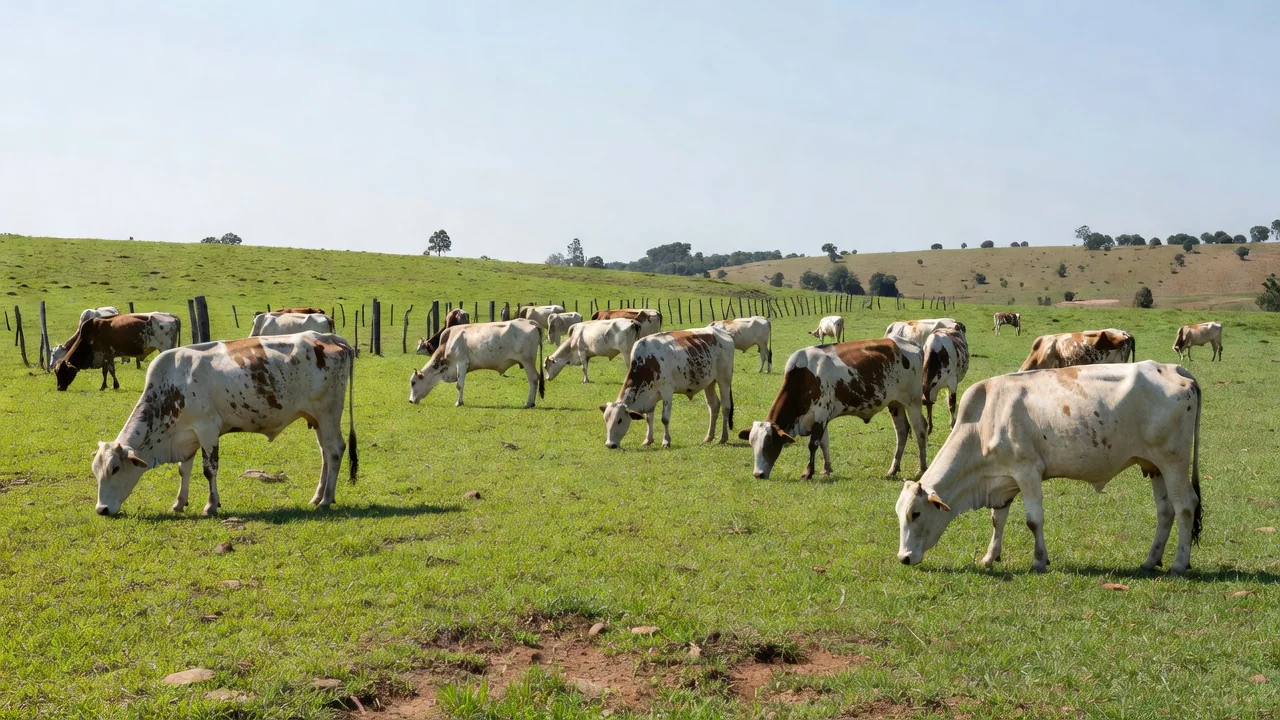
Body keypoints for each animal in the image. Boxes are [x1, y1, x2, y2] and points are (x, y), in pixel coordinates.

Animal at [92, 332, 357, 516]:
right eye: (96, 470)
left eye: (115, 468)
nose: (101, 509)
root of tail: (328, 336)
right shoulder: (188, 436)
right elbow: (184, 470)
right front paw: (179, 502)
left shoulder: (208, 430)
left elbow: (209, 469)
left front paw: (211, 505)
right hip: (316, 419)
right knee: (324, 453)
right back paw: (318, 497)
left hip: (329, 414)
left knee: (335, 451)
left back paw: (326, 499)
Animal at [410, 319, 545, 408]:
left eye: (413, 383)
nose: (410, 401)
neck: (448, 342)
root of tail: (531, 322)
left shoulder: (461, 363)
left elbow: (459, 385)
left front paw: (459, 402)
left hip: (527, 362)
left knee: (533, 379)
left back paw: (529, 403)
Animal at [601, 328, 735, 449]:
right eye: (606, 420)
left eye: (619, 420)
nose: (609, 444)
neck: (647, 362)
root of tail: (720, 332)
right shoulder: (650, 396)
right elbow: (649, 418)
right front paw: (648, 440)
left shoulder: (667, 392)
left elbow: (665, 419)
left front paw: (666, 441)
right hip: (709, 382)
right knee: (713, 406)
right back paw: (708, 437)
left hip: (724, 380)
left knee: (725, 407)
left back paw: (723, 438)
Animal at [739, 338, 928, 480]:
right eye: (751, 444)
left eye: (769, 444)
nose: (758, 474)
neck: (804, 376)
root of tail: (912, 345)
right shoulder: (821, 418)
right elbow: (824, 443)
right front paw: (826, 468)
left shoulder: (820, 415)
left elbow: (813, 444)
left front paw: (808, 472)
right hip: (895, 403)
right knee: (902, 431)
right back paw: (893, 469)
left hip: (913, 402)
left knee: (920, 430)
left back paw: (922, 468)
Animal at [895, 361, 1202, 575]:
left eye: (915, 513)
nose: (903, 558)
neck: (982, 422)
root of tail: (1174, 368)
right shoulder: (1003, 479)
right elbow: (998, 519)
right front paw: (990, 557)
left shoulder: (1027, 472)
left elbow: (1034, 520)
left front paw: (1039, 560)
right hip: (1154, 467)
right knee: (1165, 511)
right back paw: (1151, 560)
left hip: (1173, 462)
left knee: (1185, 506)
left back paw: (1179, 563)